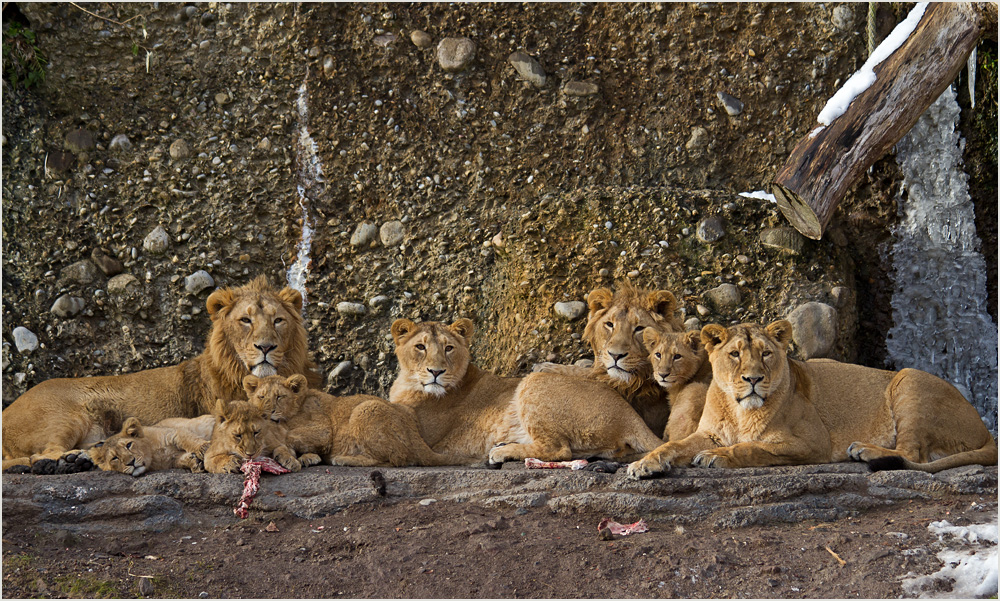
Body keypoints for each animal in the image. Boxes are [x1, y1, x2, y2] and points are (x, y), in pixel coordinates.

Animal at [0, 274, 320, 472]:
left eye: (278, 321)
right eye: (245, 320)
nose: (265, 346)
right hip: (69, 416)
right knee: (40, 453)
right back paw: (71, 460)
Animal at [628, 318, 996, 478]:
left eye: (766, 354)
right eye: (734, 354)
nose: (753, 379)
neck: (740, 409)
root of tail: (985, 428)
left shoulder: (813, 442)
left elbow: (753, 448)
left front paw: (717, 457)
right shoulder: (709, 433)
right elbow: (673, 445)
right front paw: (644, 464)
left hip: (909, 380)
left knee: (912, 454)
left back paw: (863, 451)